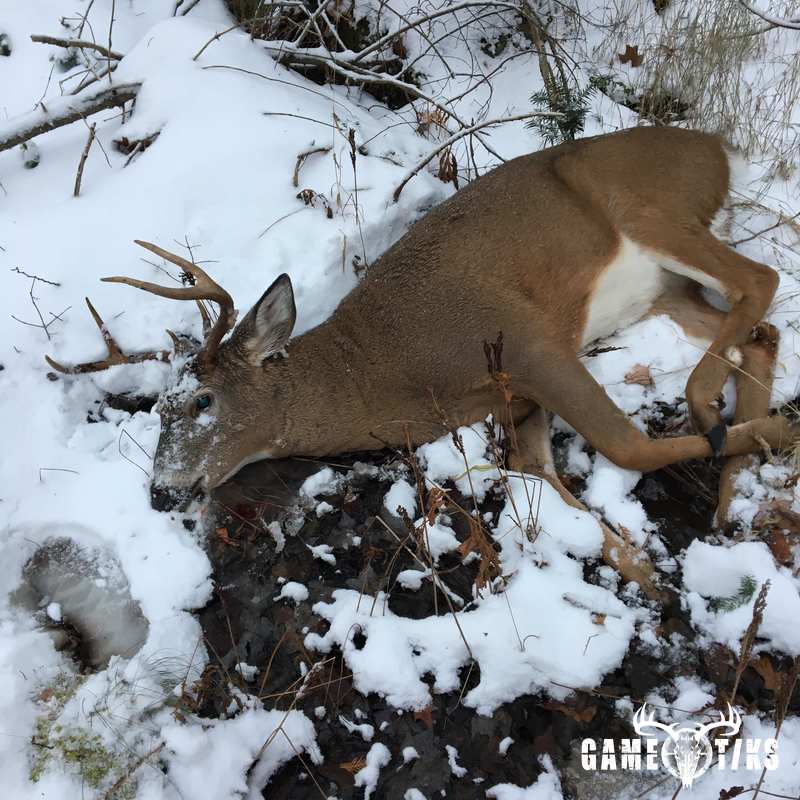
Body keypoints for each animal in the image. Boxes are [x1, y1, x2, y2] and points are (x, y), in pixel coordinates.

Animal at [48, 126, 795, 592]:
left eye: (203, 400)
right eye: (157, 410)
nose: (159, 489)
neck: (389, 371)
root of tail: (718, 147)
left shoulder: (527, 340)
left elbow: (628, 446)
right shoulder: (516, 395)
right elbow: (538, 474)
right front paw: (641, 573)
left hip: (653, 210)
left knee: (760, 279)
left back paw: (729, 420)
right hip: (663, 292)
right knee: (758, 329)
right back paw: (735, 482)